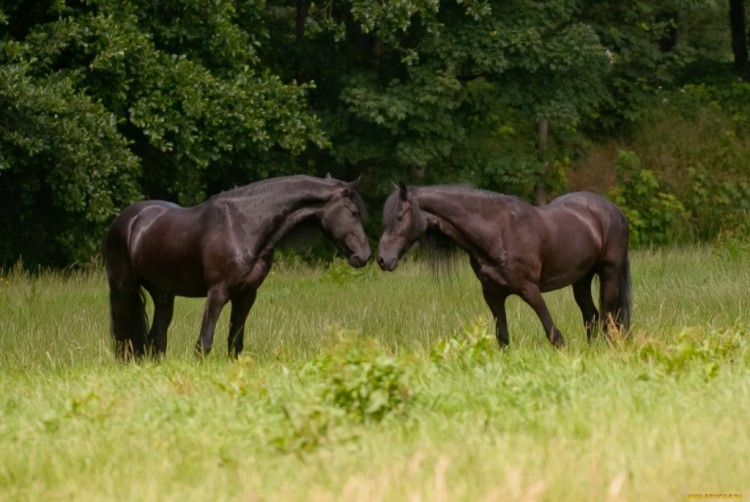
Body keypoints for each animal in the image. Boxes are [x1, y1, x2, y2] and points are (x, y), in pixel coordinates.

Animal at [106, 175, 374, 358]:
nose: (364, 255)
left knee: (156, 338)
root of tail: (127, 220)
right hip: (123, 289)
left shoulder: (246, 295)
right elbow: (204, 342)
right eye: (353, 212)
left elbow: (235, 342)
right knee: (123, 338)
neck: (242, 224)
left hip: (163, 294)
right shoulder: (218, 293)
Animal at [378, 182, 632, 348]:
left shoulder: (529, 289)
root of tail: (615, 210)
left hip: (609, 273)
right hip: (581, 279)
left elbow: (554, 334)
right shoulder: (493, 294)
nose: (382, 259)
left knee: (608, 318)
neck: (498, 232)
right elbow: (503, 338)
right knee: (592, 317)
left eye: (399, 216)